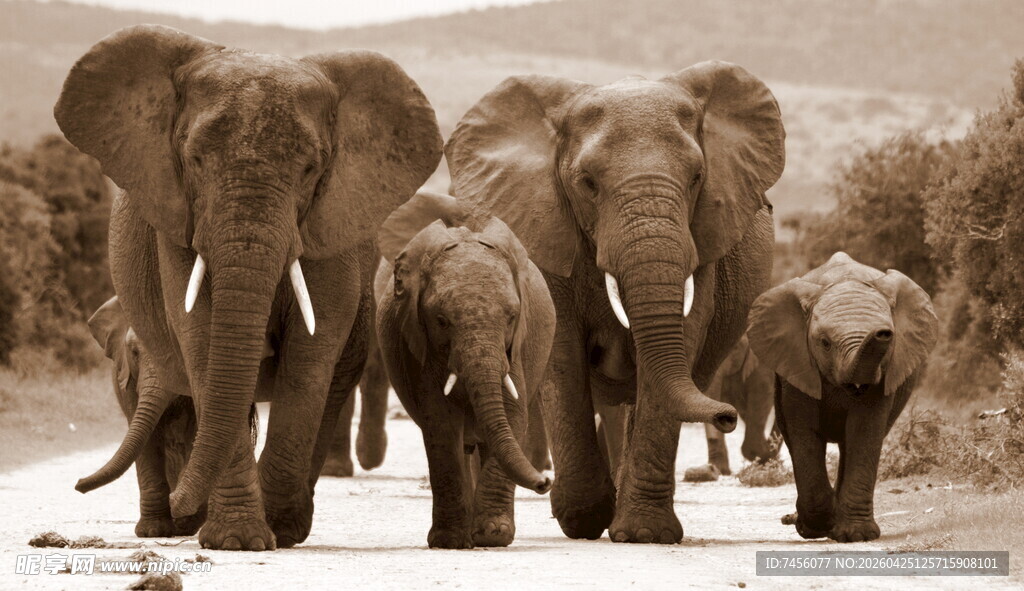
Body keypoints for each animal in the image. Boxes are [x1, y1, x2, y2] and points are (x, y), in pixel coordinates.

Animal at [55, 25, 442, 550]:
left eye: (311, 169)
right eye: (195, 159)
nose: (76, 487)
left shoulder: (330, 225)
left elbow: (311, 353)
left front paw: (274, 528)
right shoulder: (179, 219)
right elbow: (200, 338)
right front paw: (235, 540)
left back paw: (289, 523)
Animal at [375, 191, 555, 548]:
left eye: (512, 317)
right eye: (441, 321)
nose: (545, 481)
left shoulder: (516, 348)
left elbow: (513, 412)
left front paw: (493, 535)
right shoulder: (421, 344)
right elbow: (440, 421)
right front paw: (450, 541)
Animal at [445, 61, 785, 543]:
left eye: (697, 178)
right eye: (587, 183)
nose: (726, 415)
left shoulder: (703, 241)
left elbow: (682, 338)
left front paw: (644, 533)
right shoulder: (545, 226)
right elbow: (562, 351)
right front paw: (583, 519)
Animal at [747, 252, 938, 542]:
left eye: (890, 340)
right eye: (825, 343)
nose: (883, 332)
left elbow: (864, 431)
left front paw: (856, 535)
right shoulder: (798, 363)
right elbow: (803, 431)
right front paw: (815, 528)